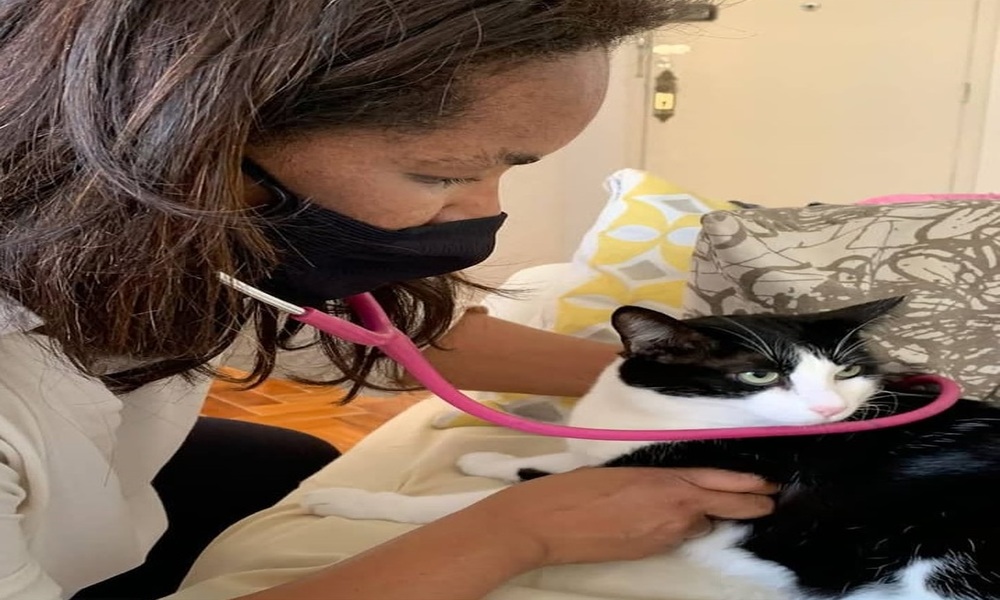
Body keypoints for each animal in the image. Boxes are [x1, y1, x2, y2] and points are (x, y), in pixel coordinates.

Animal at [301, 298, 1000, 600]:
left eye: (846, 373)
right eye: (758, 374)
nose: (830, 411)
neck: (660, 417)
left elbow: (477, 504)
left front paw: (341, 499)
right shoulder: (610, 452)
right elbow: (549, 462)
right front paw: (482, 457)